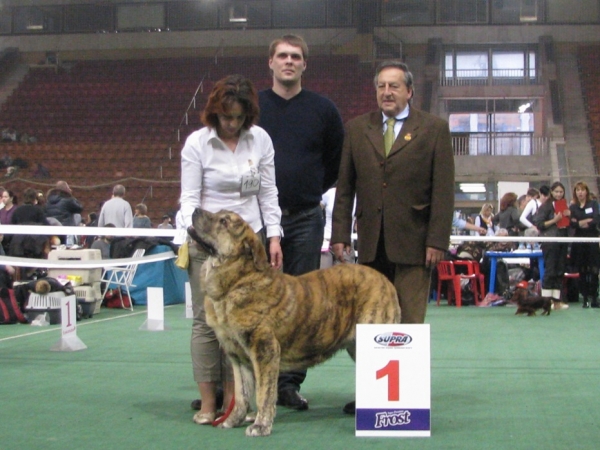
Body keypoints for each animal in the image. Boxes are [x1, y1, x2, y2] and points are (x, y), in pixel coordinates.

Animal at [190, 207, 400, 436]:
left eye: (224, 221)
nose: (196, 209)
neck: (237, 281)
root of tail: (386, 281)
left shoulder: (265, 350)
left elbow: (263, 393)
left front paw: (261, 425)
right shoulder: (237, 356)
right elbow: (241, 394)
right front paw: (233, 420)